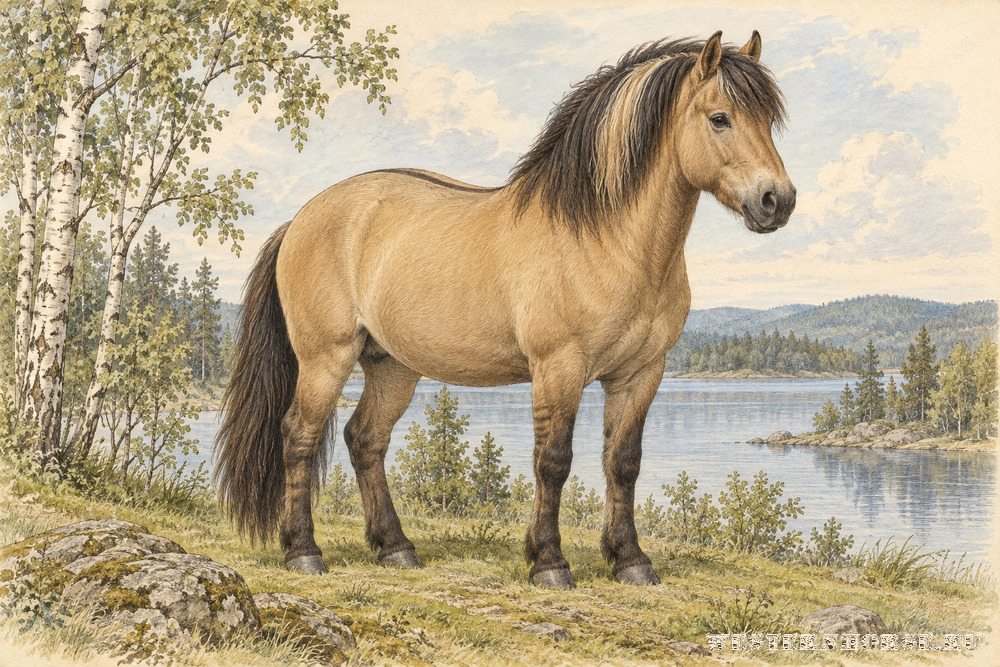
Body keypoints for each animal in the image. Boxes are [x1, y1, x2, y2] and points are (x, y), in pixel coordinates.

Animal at [214, 31, 795, 589]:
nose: (777, 201)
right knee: (299, 437)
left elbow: (623, 464)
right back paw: (304, 553)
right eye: (719, 118)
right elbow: (553, 462)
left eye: (768, 120)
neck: (604, 238)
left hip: (391, 364)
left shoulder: (640, 374)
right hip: (326, 358)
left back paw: (396, 548)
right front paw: (549, 564)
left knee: (365, 440)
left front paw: (630, 560)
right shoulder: (558, 368)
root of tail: (301, 218)